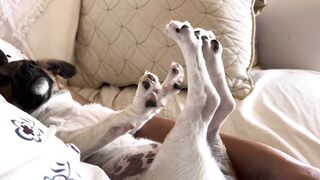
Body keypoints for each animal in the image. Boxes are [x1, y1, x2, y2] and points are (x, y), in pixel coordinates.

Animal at [0, 20, 236, 179]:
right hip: (179, 147)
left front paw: (164, 88)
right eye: (3, 79)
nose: (26, 69)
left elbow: (124, 117)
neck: (53, 104)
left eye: (31, 63)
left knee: (224, 104)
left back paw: (207, 46)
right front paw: (143, 102)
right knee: (209, 100)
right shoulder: (75, 140)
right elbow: (117, 119)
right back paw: (189, 39)